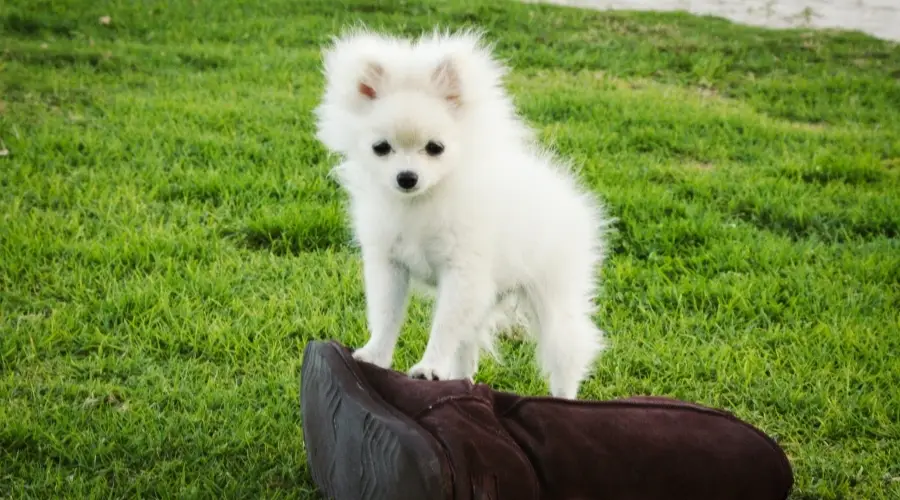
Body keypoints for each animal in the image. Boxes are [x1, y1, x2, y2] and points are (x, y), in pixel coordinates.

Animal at [312, 28, 612, 398]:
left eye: (435, 148)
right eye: (381, 148)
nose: (406, 177)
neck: (422, 202)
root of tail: (563, 190)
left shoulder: (463, 273)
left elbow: (444, 327)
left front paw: (429, 368)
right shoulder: (390, 265)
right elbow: (385, 315)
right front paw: (375, 355)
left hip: (554, 297)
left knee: (566, 353)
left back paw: (564, 400)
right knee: (467, 347)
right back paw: (461, 381)